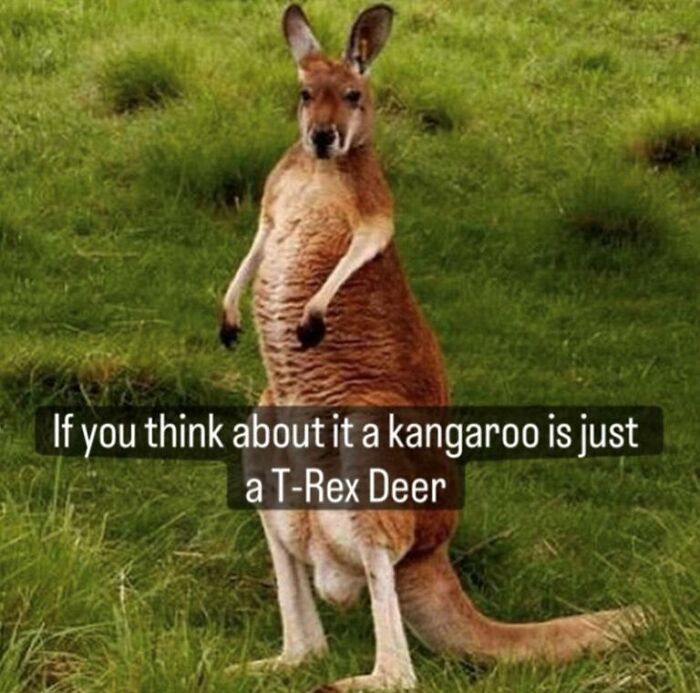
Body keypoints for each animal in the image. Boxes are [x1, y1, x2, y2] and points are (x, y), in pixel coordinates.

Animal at [219, 5, 644, 690]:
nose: (323, 137)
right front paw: (230, 316)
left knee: (397, 661)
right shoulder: (271, 203)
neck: (317, 173)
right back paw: (262, 664)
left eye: (355, 96)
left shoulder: (373, 208)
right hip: (265, 432)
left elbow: (362, 246)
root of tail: (431, 551)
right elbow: (256, 247)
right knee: (308, 635)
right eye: (305, 94)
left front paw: (312, 317)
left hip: (369, 435)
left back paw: (357, 679)